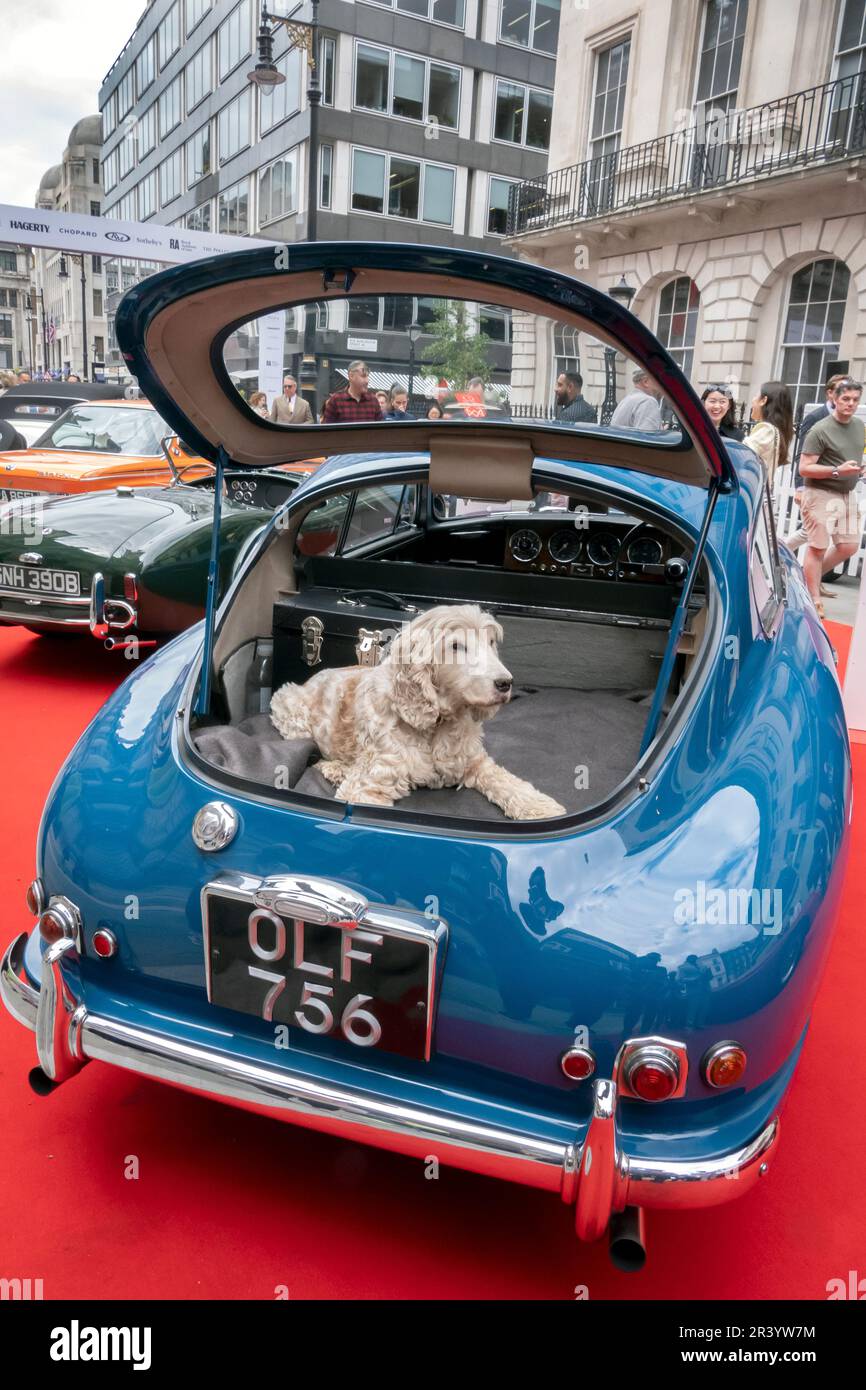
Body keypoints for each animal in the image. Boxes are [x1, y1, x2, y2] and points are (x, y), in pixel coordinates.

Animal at [272, 603, 569, 817]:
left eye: (491, 643)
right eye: (456, 646)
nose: (506, 683)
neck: (436, 724)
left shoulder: (475, 761)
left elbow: (507, 781)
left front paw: (541, 807)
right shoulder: (367, 786)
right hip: (291, 711)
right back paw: (335, 768)